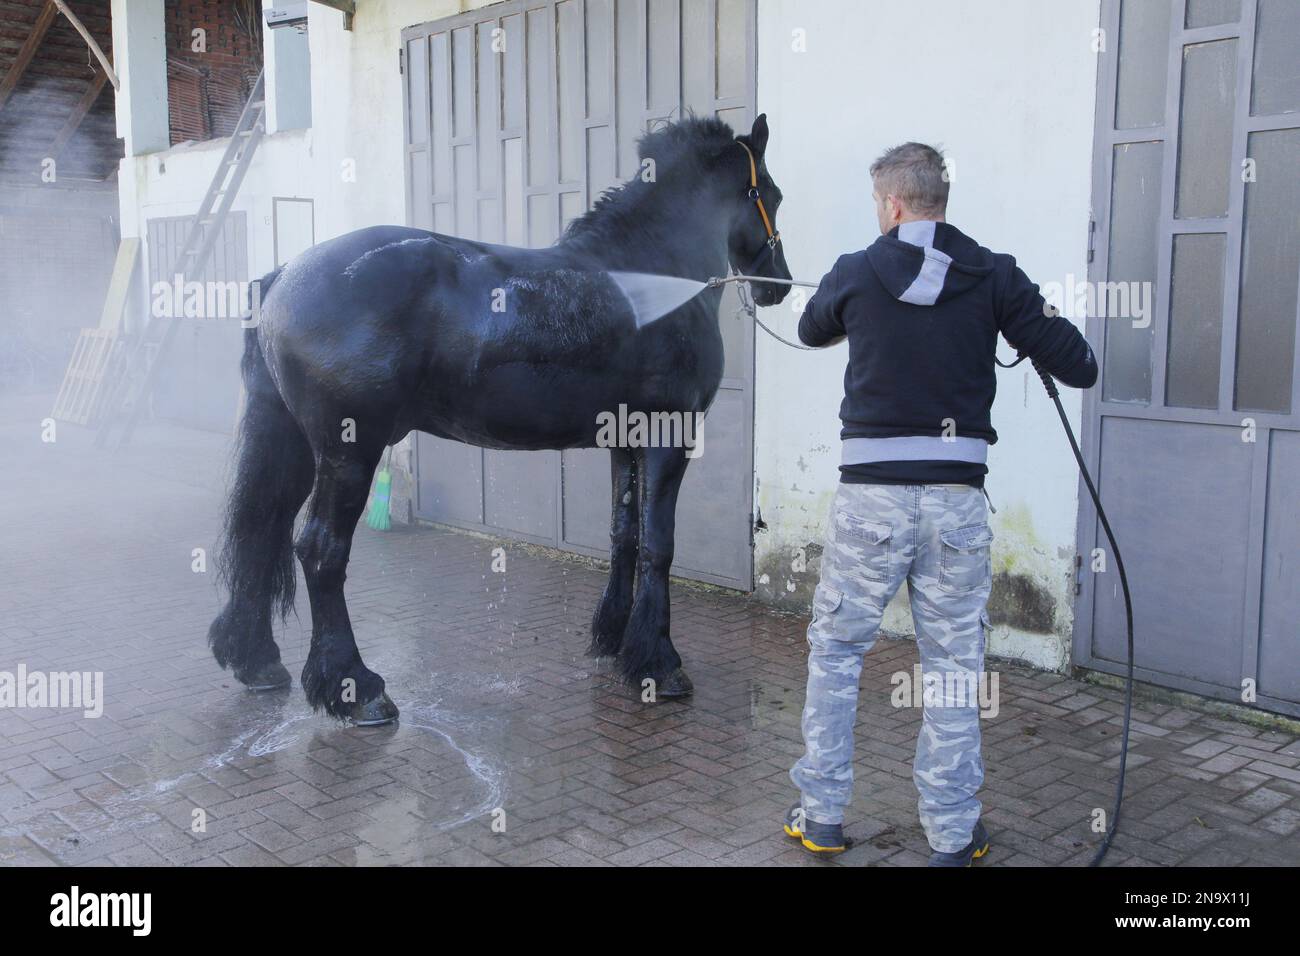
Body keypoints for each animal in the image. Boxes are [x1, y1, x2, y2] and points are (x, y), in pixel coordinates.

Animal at [207, 114, 792, 724]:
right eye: (772, 195)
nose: (777, 282)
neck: (651, 271)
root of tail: (284, 276)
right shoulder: (668, 434)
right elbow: (659, 545)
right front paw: (658, 662)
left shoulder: (624, 438)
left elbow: (624, 535)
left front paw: (612, 641)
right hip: (348, 452)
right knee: (320, 550)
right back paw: (356, 688)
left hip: (297, 445)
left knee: (263, 527)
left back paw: (256, 661)